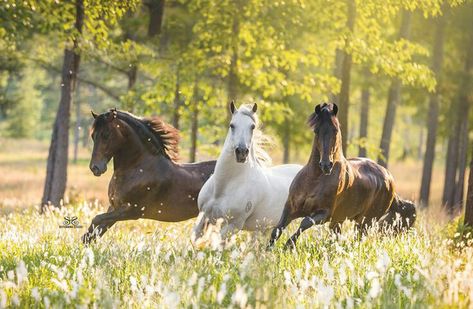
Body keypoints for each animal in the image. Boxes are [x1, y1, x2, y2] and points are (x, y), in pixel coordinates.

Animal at [82, 108, 215, 243]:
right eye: (93, 136)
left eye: (106, 134)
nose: (95, 168)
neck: (139, 168)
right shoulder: (114, 207)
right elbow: (92, 234)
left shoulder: (132, 211)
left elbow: (96, 219)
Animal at [192, 101, 302, 241]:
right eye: (232, 125)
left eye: (252, 127)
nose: (242, 152)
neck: (222, 188)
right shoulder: (203, 217)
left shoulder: (233, 225)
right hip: (267, 227)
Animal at [268, 102, 414, 249]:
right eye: (316, 130)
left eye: (335, 130)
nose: (326, 165)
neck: (314, 180)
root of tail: (389, 178)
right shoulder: (290, 207)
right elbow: (277, 229)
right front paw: (268, 251)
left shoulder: (324, 214)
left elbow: (305, 222)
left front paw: (289, 245)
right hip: (340, 220)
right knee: (336, 238)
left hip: (365, 221)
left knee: (357, 239)